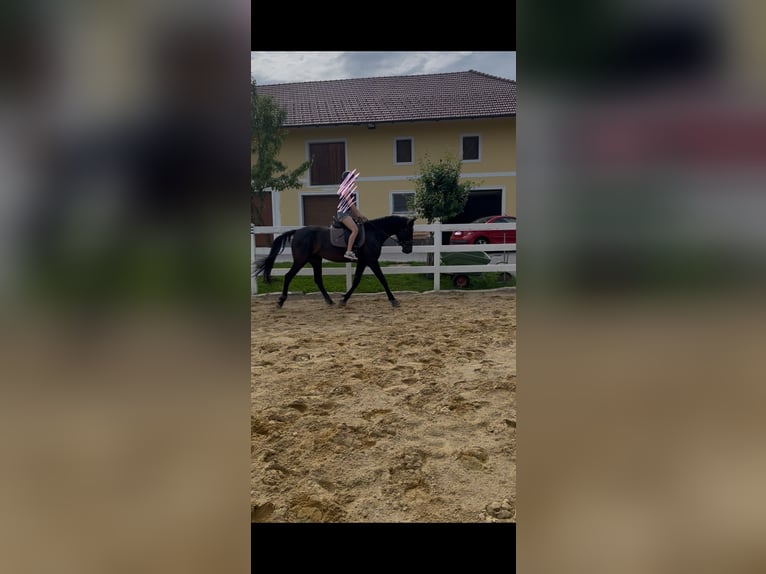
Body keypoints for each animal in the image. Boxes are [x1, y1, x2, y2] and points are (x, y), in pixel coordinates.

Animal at [254, 215, 416, 308]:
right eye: (409, 230)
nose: (408, 249)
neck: (373, 233)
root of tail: (298, 231)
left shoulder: (363, 261)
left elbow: (356, 281)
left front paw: (343, 299)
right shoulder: (371, 261)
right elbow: (382, 279)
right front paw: (394, 300)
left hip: (315, 260)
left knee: (318, 279)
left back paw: (330, 301)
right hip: (300, 260)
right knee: (288, 276)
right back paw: (281, 301)